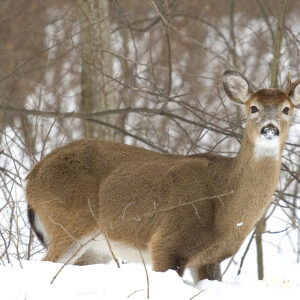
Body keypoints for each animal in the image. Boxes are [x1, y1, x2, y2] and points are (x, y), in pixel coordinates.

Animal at [25, 70, 300, 282]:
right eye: (253, 107)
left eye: (287, 109)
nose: (269, 129)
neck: (225, 207)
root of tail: (32, 178)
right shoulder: (167, 244)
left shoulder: (209, 260)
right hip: (67, 223)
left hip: (95, 249)